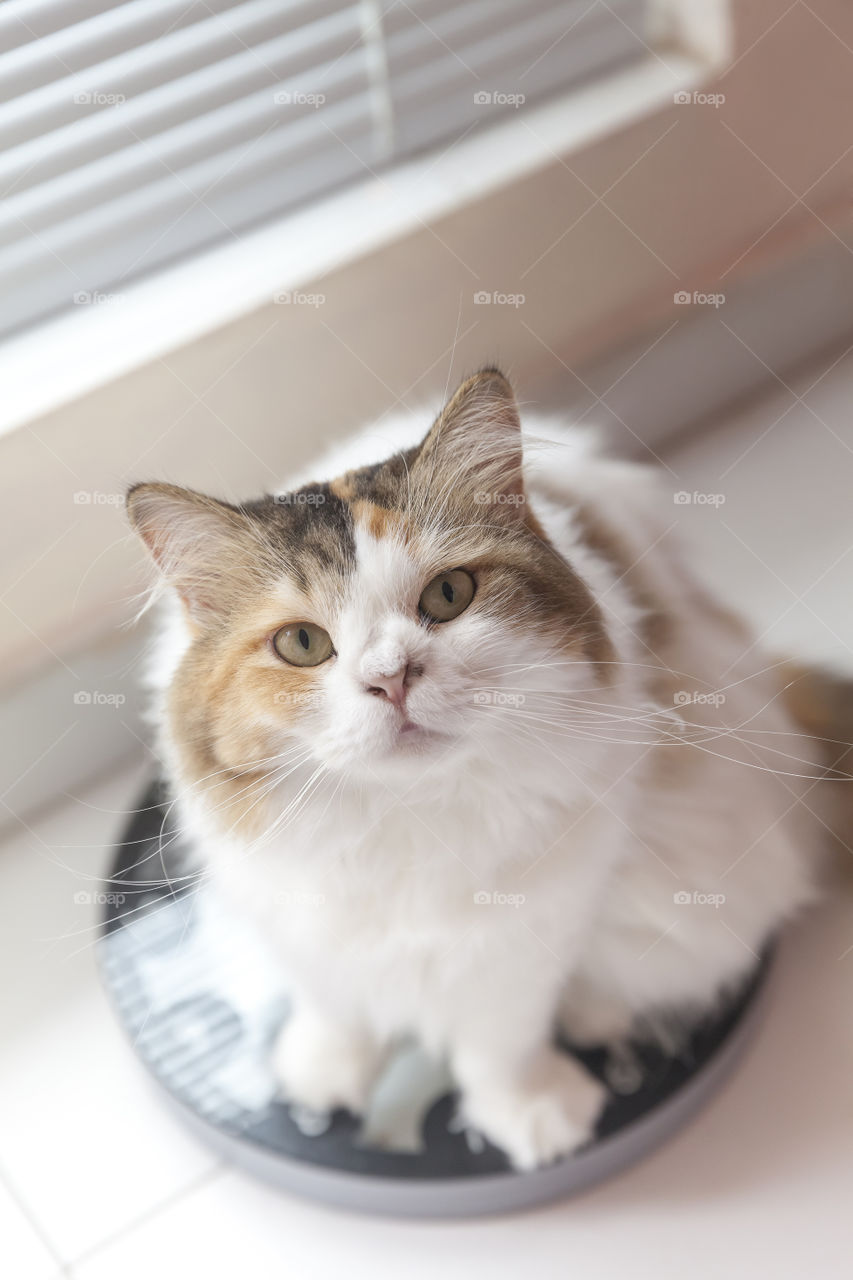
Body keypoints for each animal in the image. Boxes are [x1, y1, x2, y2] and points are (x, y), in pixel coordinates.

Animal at [129, 368, 840, 1172]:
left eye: (447, 596)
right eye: (303, 643)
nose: (391, 677)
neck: (406, 821)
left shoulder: (523, 938)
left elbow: (501, 1047)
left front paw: (532, 1116)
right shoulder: (303, 918)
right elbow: (336, 1007)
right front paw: (320, 1074)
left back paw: (597, 1015)